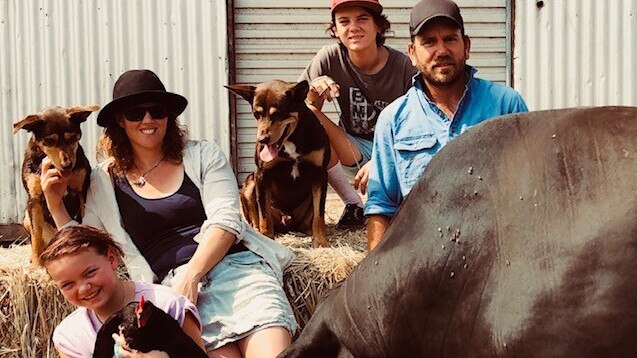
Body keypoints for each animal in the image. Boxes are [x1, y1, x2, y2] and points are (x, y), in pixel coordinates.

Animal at [13, 105, 98, 264]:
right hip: (26, 218)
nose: (67, 165)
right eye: (49, 140)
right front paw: (36, 265)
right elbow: (36, 237)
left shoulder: (82, 193)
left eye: (73, 137)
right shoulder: (34, 199)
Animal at [226, 80, 330, 249]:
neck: (291, 140)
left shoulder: (320, 174)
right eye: (256, 114)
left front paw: (320, 241)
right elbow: (264, 214)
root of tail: (286, 221)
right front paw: (267, 237)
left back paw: (308, 230)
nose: (262, 140)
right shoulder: (262, 174)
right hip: (250, 184)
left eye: (278, 114)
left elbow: (319, 213)